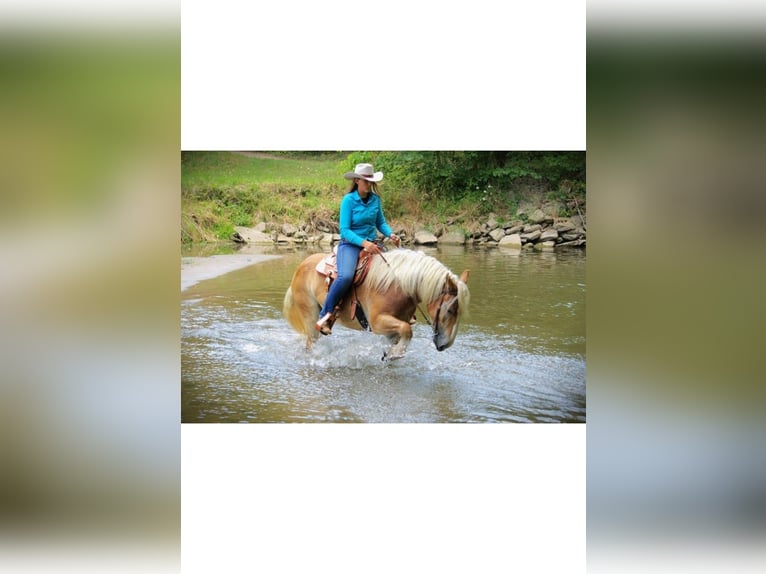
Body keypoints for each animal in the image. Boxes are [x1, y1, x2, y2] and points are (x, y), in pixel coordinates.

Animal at [283, 248, 470, 360]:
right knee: (311, 342)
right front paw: (395, 354)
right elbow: (407, 330)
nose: (445, 344)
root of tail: (300, 267)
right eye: (450, 310)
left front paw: (390, 353)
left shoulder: (391, 328)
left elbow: (402, 334)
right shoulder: (377, 322)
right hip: (309, 314)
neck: (398, 285)